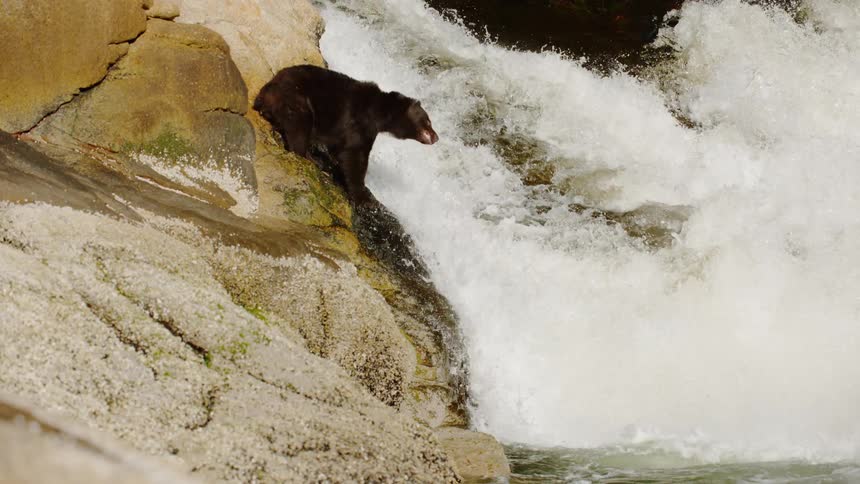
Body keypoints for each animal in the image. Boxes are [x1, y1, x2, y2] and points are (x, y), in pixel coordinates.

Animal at [253, 65, 439, 204]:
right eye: (428, 122)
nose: (436, 137)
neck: (381, 115)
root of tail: (264, 93)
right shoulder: (360, 123)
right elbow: (355, 155)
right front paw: (364, 197)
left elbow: (341, 150)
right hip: (296, 99)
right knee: (299, 124)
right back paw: (310, 158)